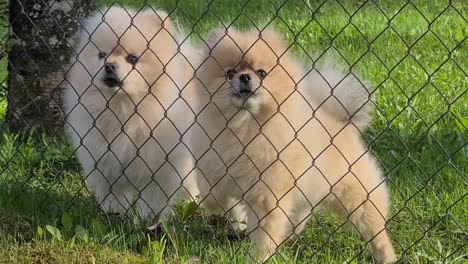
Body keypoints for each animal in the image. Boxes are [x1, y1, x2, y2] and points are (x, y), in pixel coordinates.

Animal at [63, 7, 197, 220]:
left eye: (132, 59)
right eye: (102, 54)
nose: (109, 65)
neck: (123, 109)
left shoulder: (158, 166)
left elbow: (152, 198)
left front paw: (148, 218)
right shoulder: (106, 163)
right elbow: (113, 194)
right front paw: (113, 213)